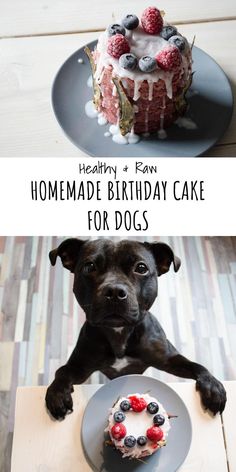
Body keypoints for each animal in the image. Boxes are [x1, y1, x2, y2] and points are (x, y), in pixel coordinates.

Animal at [45, 238, 226, 418]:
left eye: (141, 268)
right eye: (89, 266)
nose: (114, 291)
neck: (119, 332)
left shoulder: (168, 359)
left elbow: (195, 365)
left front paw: (212, 386)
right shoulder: (80, 367)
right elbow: (62, 370)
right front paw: (57, 393)